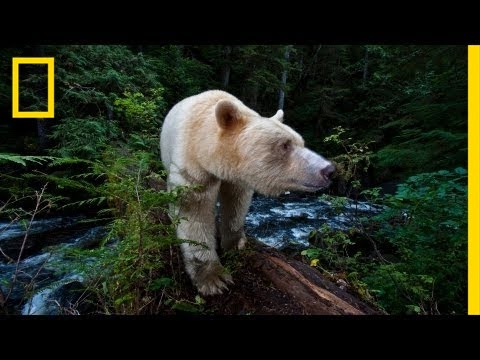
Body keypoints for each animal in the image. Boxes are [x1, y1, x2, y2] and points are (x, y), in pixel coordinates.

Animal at [161, 90, 334, 296]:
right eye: (285, 145)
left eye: (301, 142)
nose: (329, 170)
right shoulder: (194, 167)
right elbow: (194, 212)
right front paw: (214, 279)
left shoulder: (238, 178)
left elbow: (236, 203)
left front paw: (236, 243)